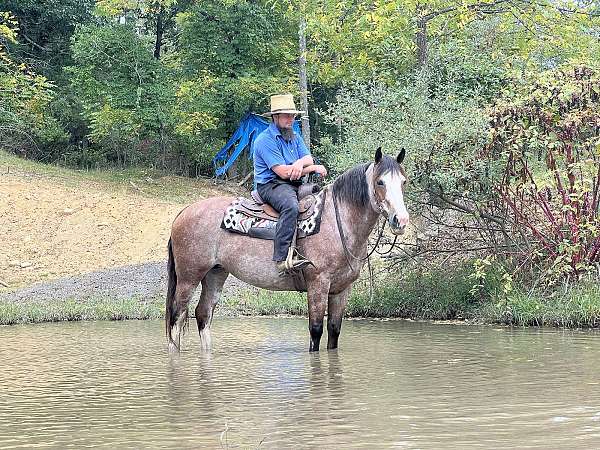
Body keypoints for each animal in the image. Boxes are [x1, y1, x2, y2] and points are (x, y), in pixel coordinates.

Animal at [165, 148, 408, 352]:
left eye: (403, 182)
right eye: (380, 182)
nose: (401, 220)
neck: (337, 222)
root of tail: (184, 211)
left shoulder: (341, 289)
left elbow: (334, 331)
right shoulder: (318, 283)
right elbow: (316, 331)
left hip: (215, 273)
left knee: (203, 314)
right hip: (189, 277)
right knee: (176, 315)